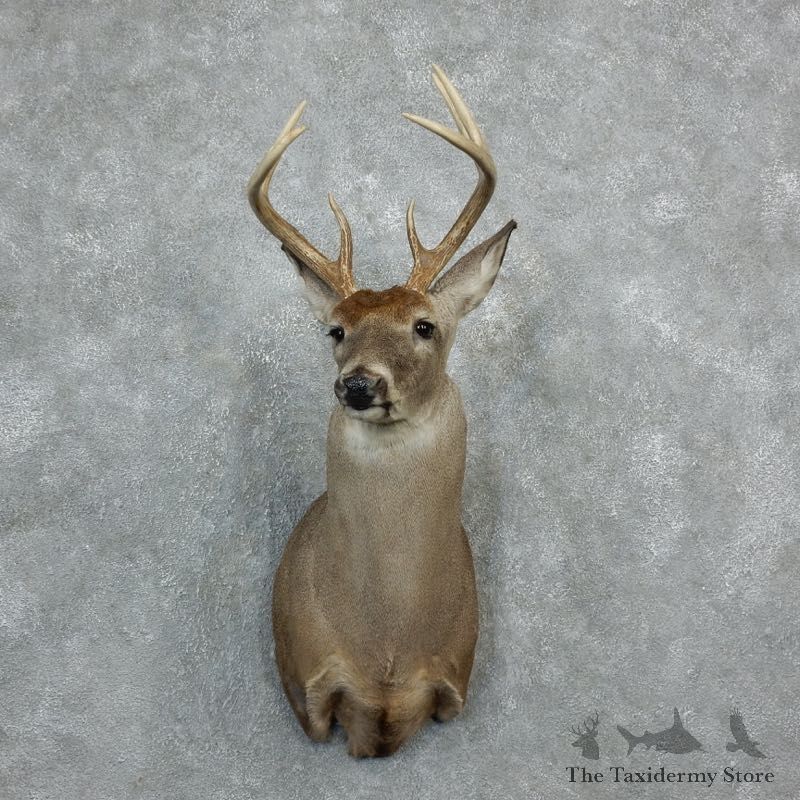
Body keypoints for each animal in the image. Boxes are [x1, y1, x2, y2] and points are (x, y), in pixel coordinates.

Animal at [247, 65, 516, 758]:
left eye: (424, 325)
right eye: (335, 330)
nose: (358, 384)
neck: (386, 649)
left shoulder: (453, 680)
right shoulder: (309, 686)